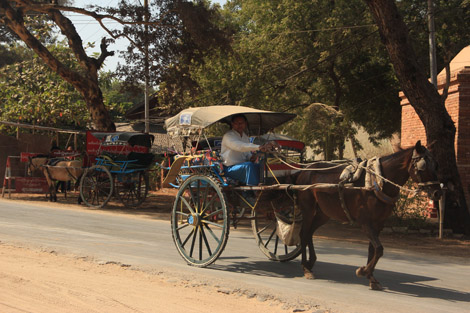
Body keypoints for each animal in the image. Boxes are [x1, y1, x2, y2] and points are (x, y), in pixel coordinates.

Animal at [296, 140, 442, 288]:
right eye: (423, 167)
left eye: (436, 165)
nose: (437, 193)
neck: (377, 181)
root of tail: (305, 170)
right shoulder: (365, 222)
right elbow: (379, 248)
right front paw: (363, 271)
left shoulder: (379, 223)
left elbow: (372, 249)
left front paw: (371, 277)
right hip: (308, 208)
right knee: (304, 234)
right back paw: (305, 267)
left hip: (324, 213)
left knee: (310, 232)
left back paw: (310, 262)